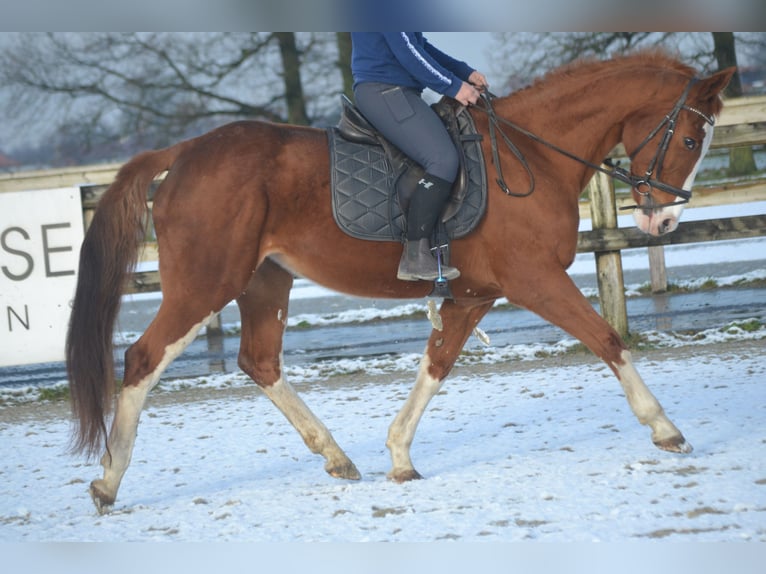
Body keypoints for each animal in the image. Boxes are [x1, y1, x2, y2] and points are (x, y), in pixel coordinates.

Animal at [66, 51, 736, 516]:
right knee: (143, 359)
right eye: (689, 137)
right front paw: (666, 429)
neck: (535, 157)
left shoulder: (472, 296)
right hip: (205, 283)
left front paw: (399, 456)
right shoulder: (536, 280)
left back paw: (337, 457)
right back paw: (107, 482)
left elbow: (436, 366)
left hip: (265, 282)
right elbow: (607, 340)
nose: (663, 221)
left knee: (259, 361)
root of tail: (183, 152)